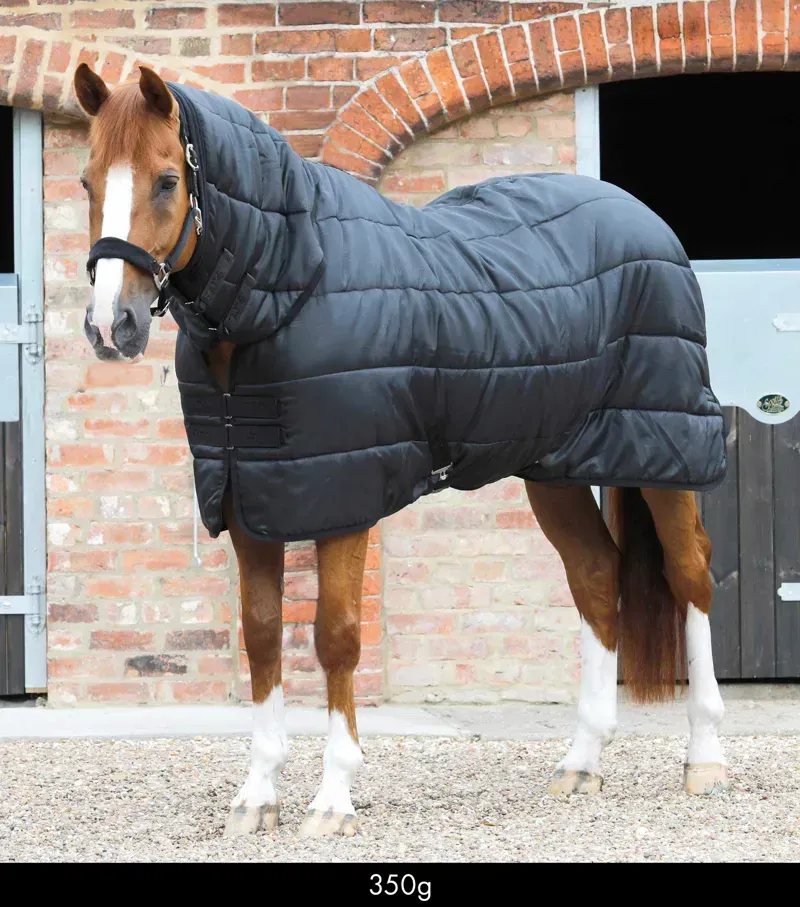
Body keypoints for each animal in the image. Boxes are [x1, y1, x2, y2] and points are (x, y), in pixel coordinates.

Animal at [73, 63, 729, 838]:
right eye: (87, 181)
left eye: (168, 179)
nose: (111, 325)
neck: (289, 285)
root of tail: (645, 220)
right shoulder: (246, 501)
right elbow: (262, 635)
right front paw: (257, 796)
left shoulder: (344, 501)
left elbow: (336, 636)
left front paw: (332, 798)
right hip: (554, 468)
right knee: (598, 577)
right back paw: (581, 762)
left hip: (667, 449)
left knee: (691, 577)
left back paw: (705, 758)